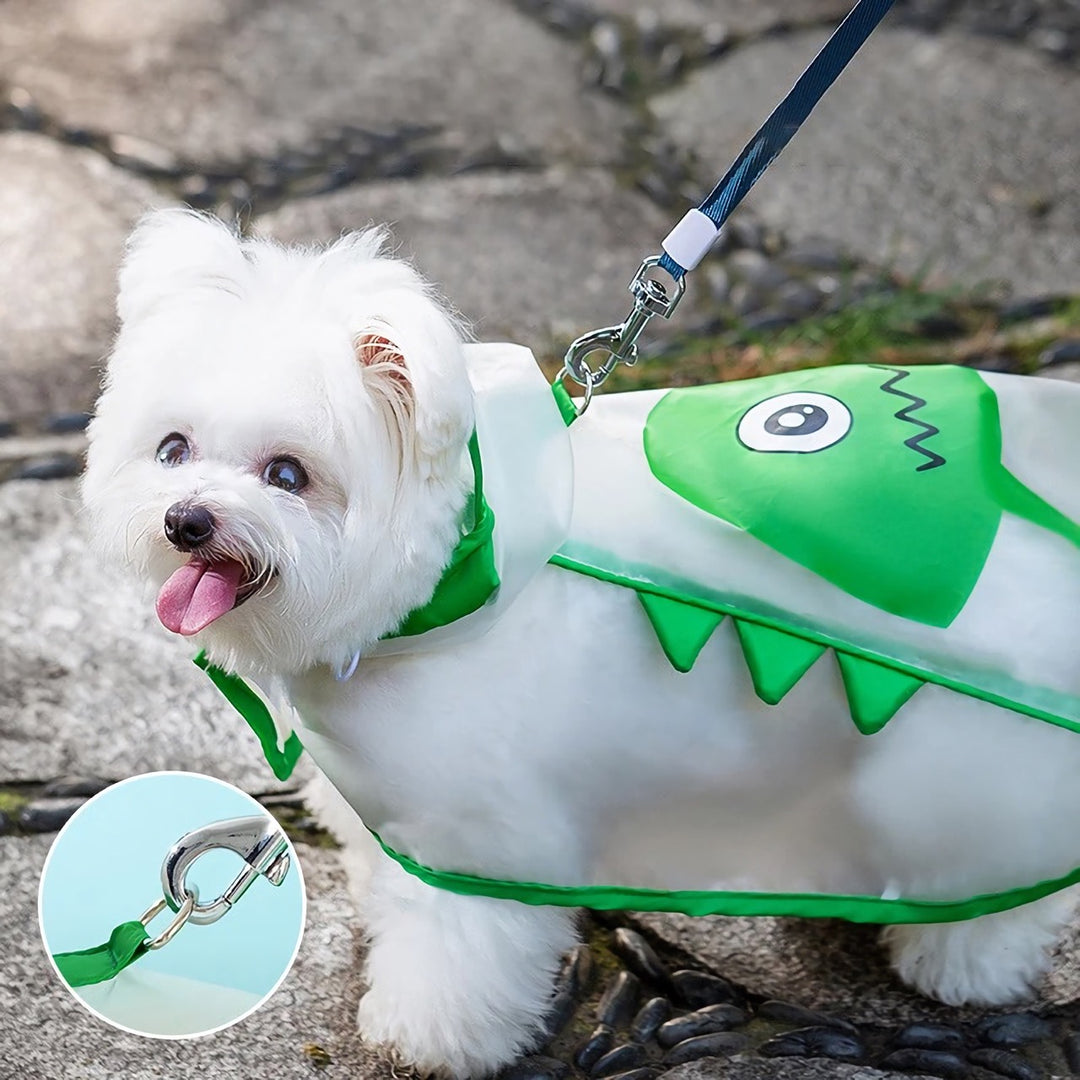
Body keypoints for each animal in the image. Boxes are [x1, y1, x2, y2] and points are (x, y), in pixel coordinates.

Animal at [84, 210, 1080, 1071]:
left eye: (288, 474)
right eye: (173, 450)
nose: (186, 521)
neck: (449, 578)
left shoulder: (477, 839)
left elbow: (457, 957)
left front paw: (429, 1040)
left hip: (961, 779)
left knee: (998, 891)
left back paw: (965, 966)